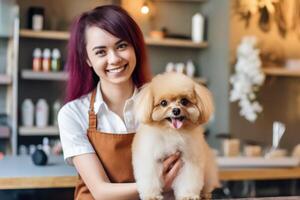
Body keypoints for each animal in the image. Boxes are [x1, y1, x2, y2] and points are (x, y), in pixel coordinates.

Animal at [132, 72, 219, 200]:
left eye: (184, 101)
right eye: (163, 103)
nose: (176, 110)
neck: (172, 132)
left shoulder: (189, 161)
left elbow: (189, 180)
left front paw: (188, 195)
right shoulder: (150, 160)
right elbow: (150, 179)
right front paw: (151, 195)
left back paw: (205, 194)